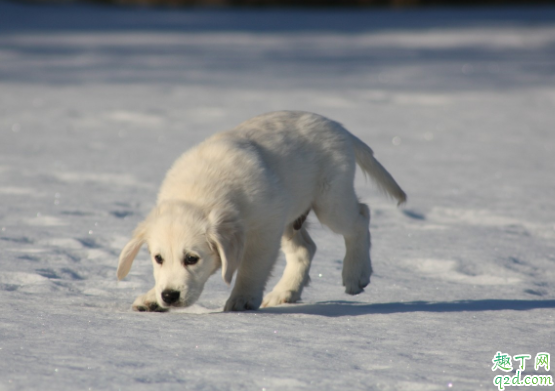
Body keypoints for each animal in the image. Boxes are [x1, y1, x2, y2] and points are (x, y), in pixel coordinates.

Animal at [117, 111, 406, 312]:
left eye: (192, 258)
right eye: (158, 258)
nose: (169, 296)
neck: (202, 193)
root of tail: (337, 126)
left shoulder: (264, 229)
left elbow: (252, 266)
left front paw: (242, 299)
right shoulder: (273, 220)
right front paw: (152, 298)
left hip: (330, 201)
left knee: (361, 217)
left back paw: (356, 274)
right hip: (290, 216)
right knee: (305, 248)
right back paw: (285, 292)